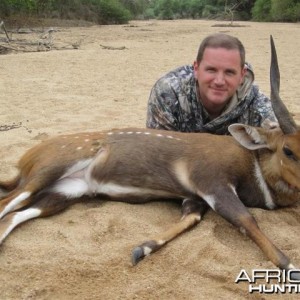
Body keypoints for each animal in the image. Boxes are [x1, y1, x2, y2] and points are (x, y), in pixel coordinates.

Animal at [0, 37, 298, 278]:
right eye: (288, 150)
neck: (251, 164)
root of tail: (26, 159)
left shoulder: (194, 198)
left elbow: (191, 218)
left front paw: (141, 249)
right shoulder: (211, 183)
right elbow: (247, 220)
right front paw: (291, 267)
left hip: (64, 193)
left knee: (13, 215)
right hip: (47, 172)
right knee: (6, 203)